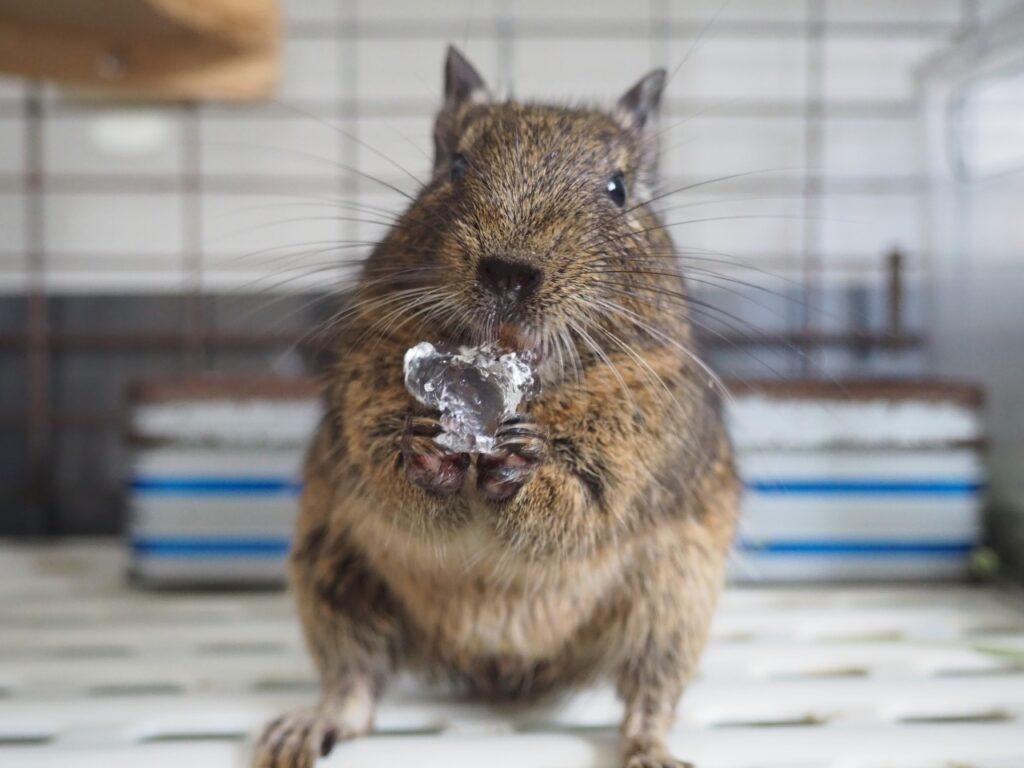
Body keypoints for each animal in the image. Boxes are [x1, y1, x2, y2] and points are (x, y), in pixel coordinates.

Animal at [254, 46, 738, 768]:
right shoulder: (360, 406)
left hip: (675, 599)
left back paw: (652, 748)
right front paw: (428, 447)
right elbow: (388, 474)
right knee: (354, 682)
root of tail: (502, 668)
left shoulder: (639, 446)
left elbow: (582, 504)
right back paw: (305, 729)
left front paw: (521, 466)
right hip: (331, 574)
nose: (509, 273)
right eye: (454, 166)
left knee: (649, 694)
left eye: (618, 188)